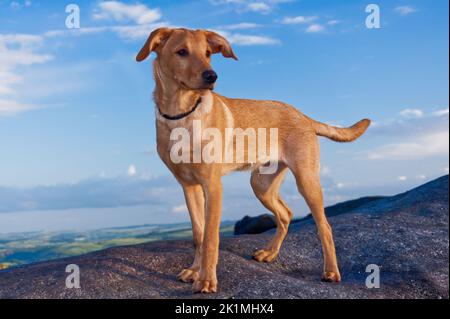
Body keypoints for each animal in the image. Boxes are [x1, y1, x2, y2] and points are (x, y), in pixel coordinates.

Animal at [138, 28, 372, 296]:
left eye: (208, 53)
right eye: (182, 52)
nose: (212, 76)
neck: (181, 113)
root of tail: (302, 115)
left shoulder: (212, 186)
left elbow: (210, 238)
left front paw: (207, 280)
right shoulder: (189, 187)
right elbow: (198, 234)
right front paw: (195, 271)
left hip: (307, 180)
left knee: (324, 226)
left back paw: (331, 271)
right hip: (261, 184)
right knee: (286, 214)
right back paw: (270, 253)